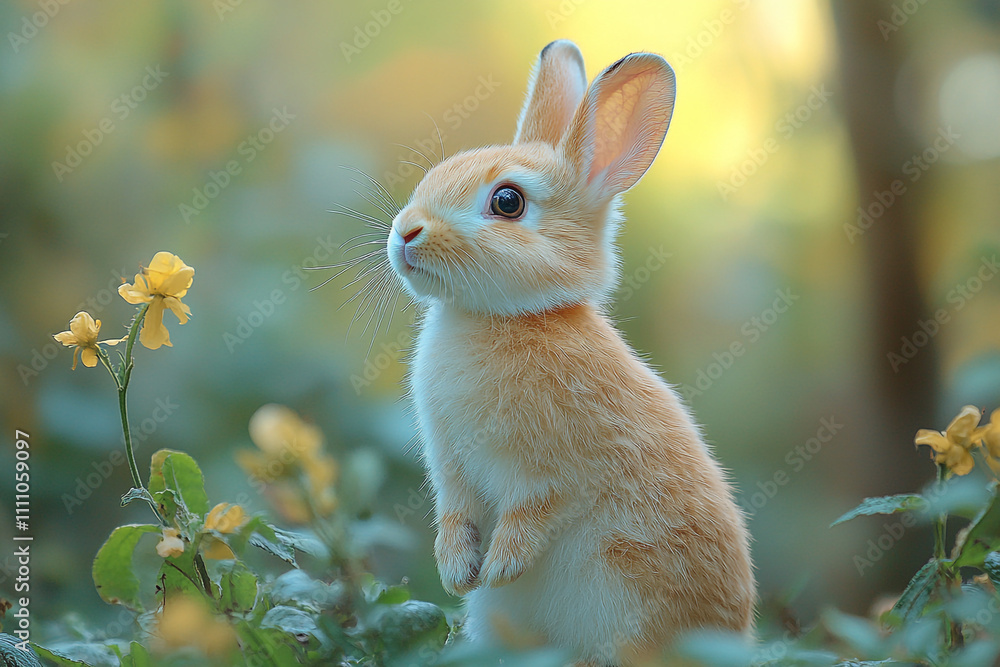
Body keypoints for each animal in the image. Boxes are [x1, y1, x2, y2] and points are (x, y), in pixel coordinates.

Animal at [384, 40, 755, 665]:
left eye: (508, 202)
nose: (406, 232)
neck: (504, 317)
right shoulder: (451, 466)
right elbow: (455, 510)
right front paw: (458, 572)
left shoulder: (555, 470)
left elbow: (536, 511)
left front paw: (500, 566)